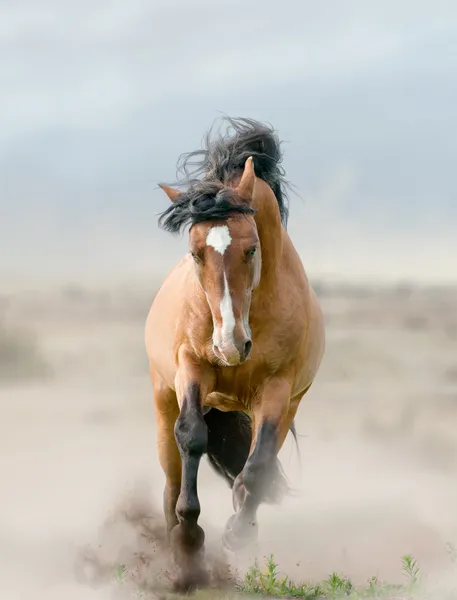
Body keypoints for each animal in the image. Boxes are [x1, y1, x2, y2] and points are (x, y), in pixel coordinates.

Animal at [144, 117, 326, 592]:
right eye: (195, 253)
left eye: (251, 248)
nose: (229, 345)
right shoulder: (191, 370)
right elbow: (192, 436)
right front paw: (189, 539)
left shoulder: (277, 391)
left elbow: (258, 468)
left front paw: (238, 534)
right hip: (163, 399)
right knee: (171, 478)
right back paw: (176, 551)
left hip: (285, 406)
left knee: (257, 467)